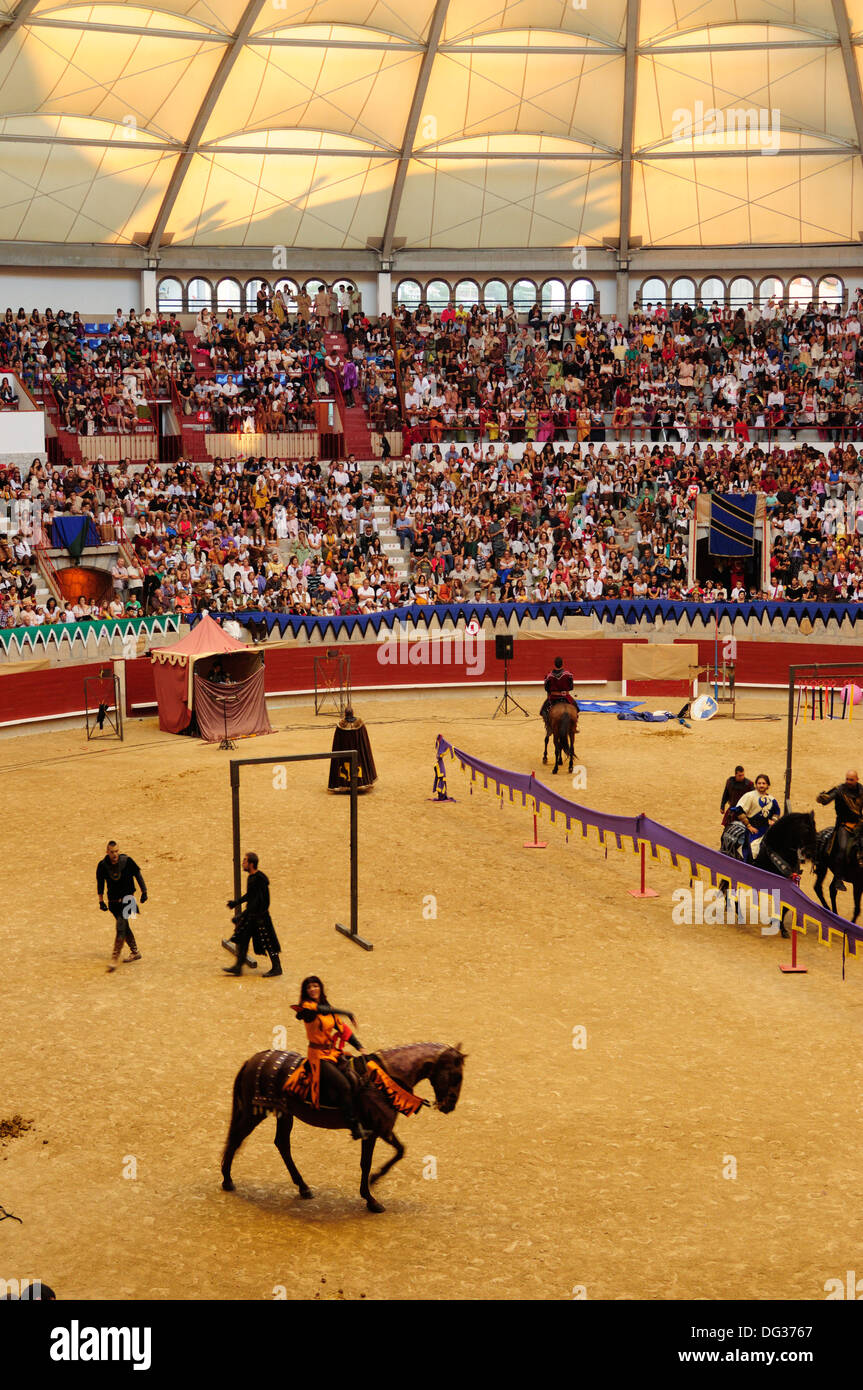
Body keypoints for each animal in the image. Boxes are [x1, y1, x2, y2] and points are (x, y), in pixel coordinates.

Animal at [220, 1039, 464, 1212]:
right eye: (457, 1076)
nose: (450, 1105)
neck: (384, 1079)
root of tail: (253, 1060)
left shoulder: (383, 1130)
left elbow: (400, 1151)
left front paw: (374, 1182)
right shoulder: (374, 1132)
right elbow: (368, 1162)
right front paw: (371, 1195)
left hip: (284, 1113)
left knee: (281, 1144)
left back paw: (303, 1187)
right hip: (255, 1113)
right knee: (237, 1138)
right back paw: (227, 1180)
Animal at [717, 811, 817, 939]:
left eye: (815, 827)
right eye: (807, 829)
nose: (811, 853)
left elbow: (785, 907)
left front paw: (780, 927)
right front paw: (779, 926)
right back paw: (739, 915)